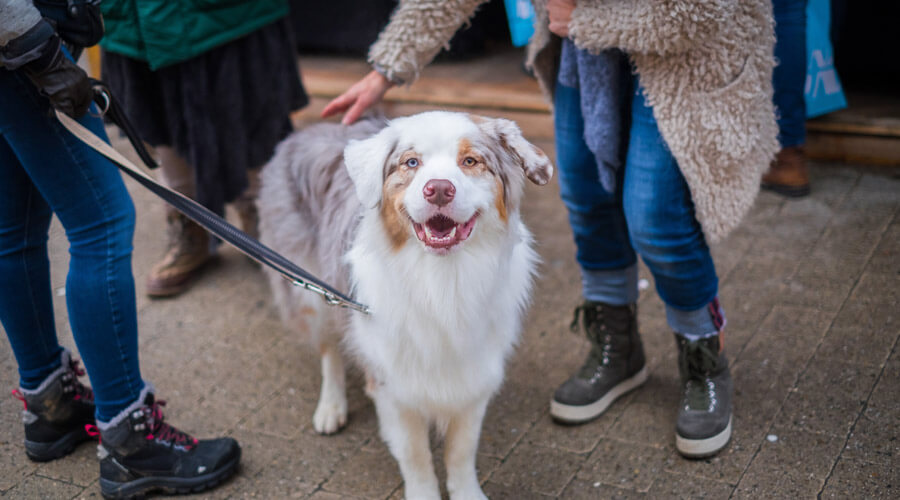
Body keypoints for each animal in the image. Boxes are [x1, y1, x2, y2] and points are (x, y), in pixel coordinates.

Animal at [256, 111, 552, 498]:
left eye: (471, 161)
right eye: (411, 162)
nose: (439, 189)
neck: (443, 280)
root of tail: (308, 130)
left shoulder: (475, 372)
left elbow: (462, 451)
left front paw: (466, 491)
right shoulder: (393, 384)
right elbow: (415, 456)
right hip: (313, 292)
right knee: (329, 349)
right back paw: (331, 407)